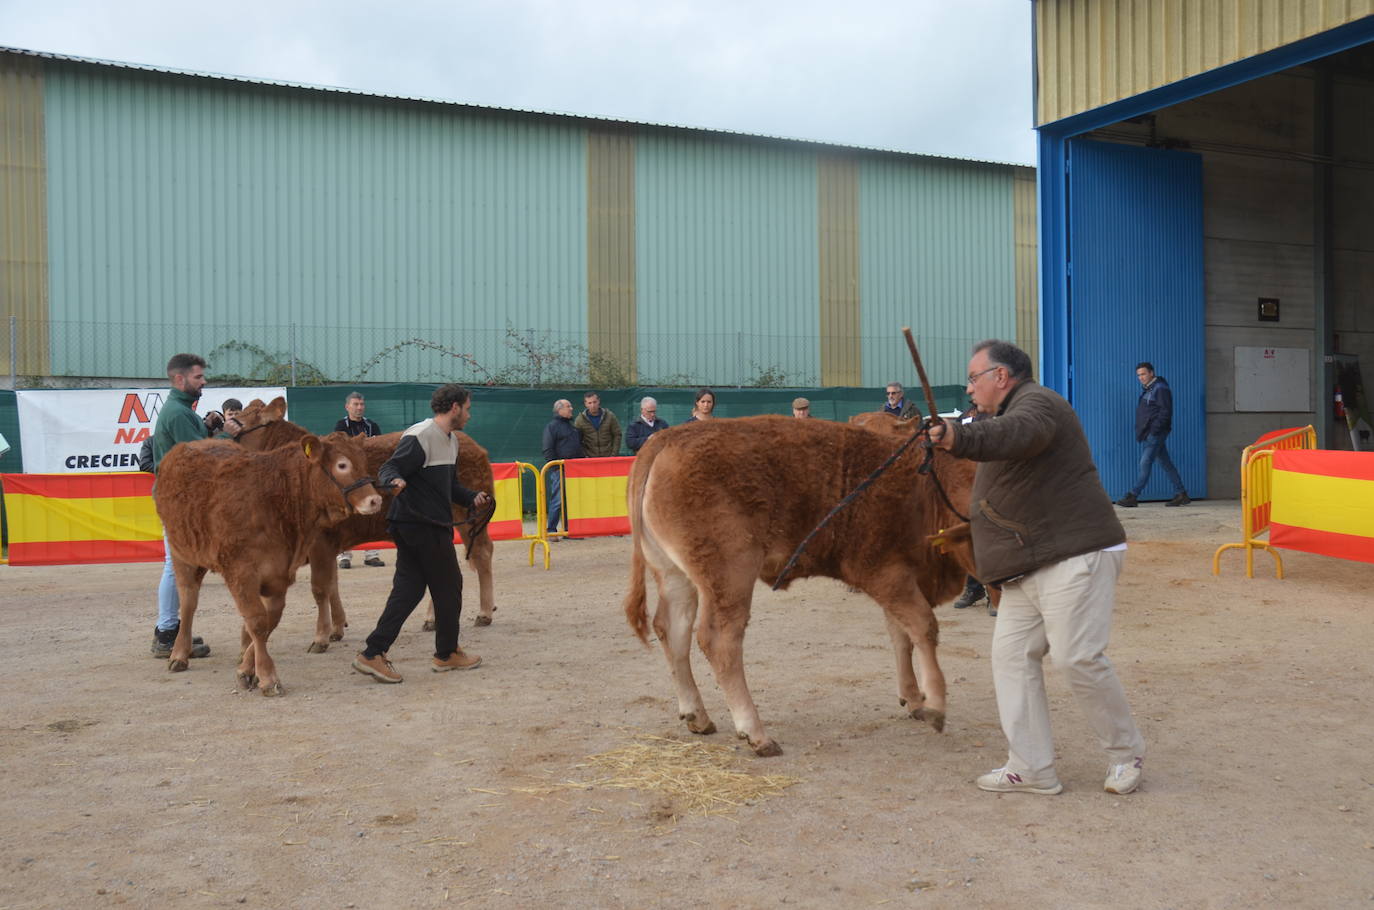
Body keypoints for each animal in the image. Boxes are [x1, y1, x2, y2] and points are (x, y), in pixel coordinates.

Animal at [153, 434, 384, 698]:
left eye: (364, 462)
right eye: (342, 465)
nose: (375, 499)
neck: (274, 499)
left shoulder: (278, 575)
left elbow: (269, 621)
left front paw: (247, 668)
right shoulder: (241, 574)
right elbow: (257, 622)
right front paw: (267, 677)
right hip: (182, 556)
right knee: (188, 604)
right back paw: (179, 654)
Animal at [232, 398, 500, 648]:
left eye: (244, 421)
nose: (228, 423)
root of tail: (472, 444)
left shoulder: (319, 542)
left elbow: (320, 589)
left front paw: (320, 636)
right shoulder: (328, 544)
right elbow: (332, 585)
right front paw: (337, 627)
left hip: (469, 516)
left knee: (482, 552)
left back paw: (484, 612)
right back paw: (433, 618)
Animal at [623, 417, 978, 758]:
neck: (925, 486)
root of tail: (665, 439)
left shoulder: (902, 581)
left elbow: (901, 636)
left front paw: (913, 698)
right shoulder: (888, 574)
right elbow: (922, 626)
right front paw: (935, 705)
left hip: (675, 576)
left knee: (672, 630)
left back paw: (697, 717)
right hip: (730, 576)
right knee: (719, 640)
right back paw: (756, 734)